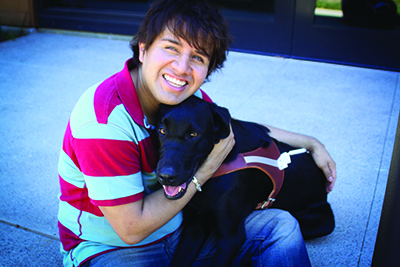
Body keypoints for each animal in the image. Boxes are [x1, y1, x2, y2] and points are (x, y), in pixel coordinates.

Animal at [156, 96, 334, 267]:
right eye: (162, 130)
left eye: (194, 135)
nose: (165, 176)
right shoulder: (194, 228)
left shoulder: (230, 237)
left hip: (321, 222)